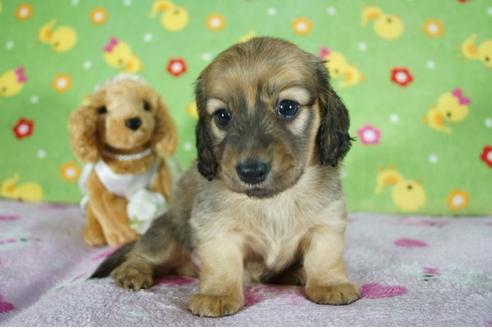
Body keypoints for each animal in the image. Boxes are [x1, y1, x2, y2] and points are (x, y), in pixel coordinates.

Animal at [92, 37, 360, 316]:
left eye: (287, 107)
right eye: (222, 116)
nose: (251, 171)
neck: (273, 201)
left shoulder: (326, 224)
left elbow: (324, 257)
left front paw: (330, 284)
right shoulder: (217, 230)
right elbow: (222, 264)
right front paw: (217, 294)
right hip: (165, 235)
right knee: (141, 255)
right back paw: (132, 271)